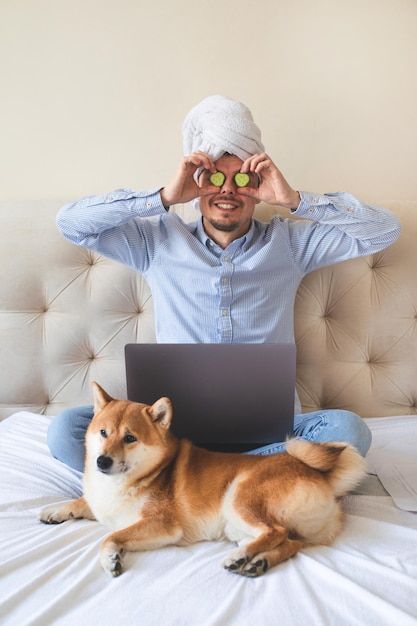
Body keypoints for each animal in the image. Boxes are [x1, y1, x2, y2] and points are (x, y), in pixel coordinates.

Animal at [39, 380, 364, 576]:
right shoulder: (101, 503)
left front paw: (110, 557)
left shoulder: (162, 526)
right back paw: (259, 561)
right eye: (103, 433)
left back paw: (242, 556)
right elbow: (82, 502)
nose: (102, 461)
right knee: (290, 542)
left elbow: (109, 536)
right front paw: (55, 511)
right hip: (241, 526)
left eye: (130, 438)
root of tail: (319, 475)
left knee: (275, 532)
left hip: (238, 498)